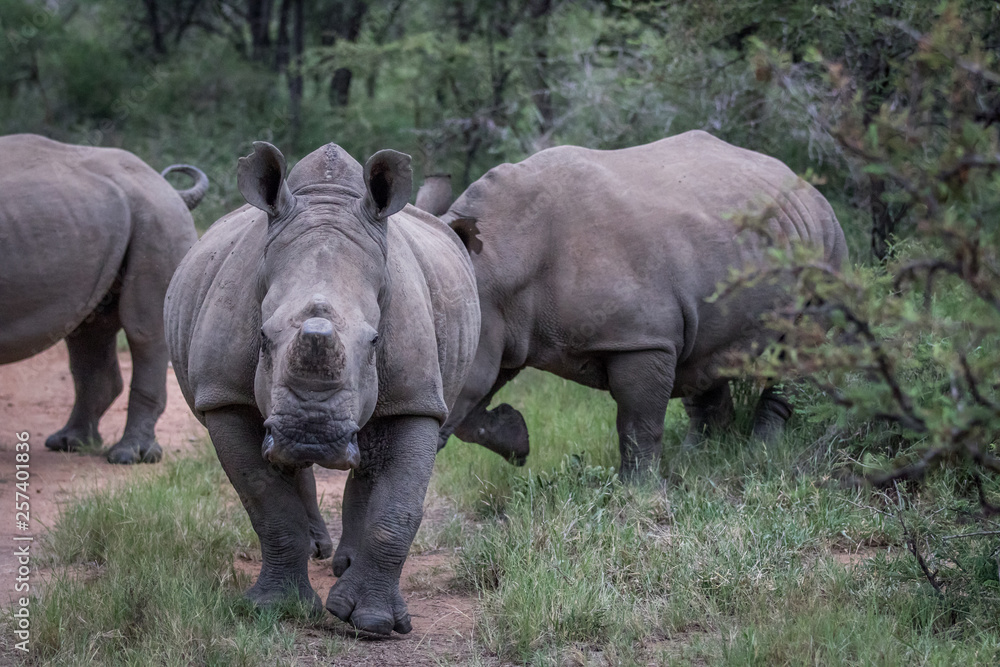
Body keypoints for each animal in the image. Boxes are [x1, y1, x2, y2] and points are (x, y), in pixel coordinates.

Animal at [0, 134, 207, 464]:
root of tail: (162, 184)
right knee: (88, 330)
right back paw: (69, 443)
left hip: (157, 217)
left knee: (144, 330)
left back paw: (128, 456)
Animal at [164, 141, 479, 635]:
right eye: (262, 338)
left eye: (375, 341)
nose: (310, 433)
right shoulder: (224, 397)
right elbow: (266, 502)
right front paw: (275, 608)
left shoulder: (418, 399)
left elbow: (399, 507)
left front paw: (375, 623)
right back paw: (319, 551)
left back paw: (343, 566)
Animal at [430, 131, 848, 479]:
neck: (503, 259)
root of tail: (807, 185)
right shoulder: (506, 328)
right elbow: (470, 407)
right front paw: (518, 440)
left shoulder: (641, 338)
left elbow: (637, 422)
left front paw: (637, 490)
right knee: (704, 354)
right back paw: (700, 455)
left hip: (826, 244)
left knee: (799, 343)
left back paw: (762, 451)